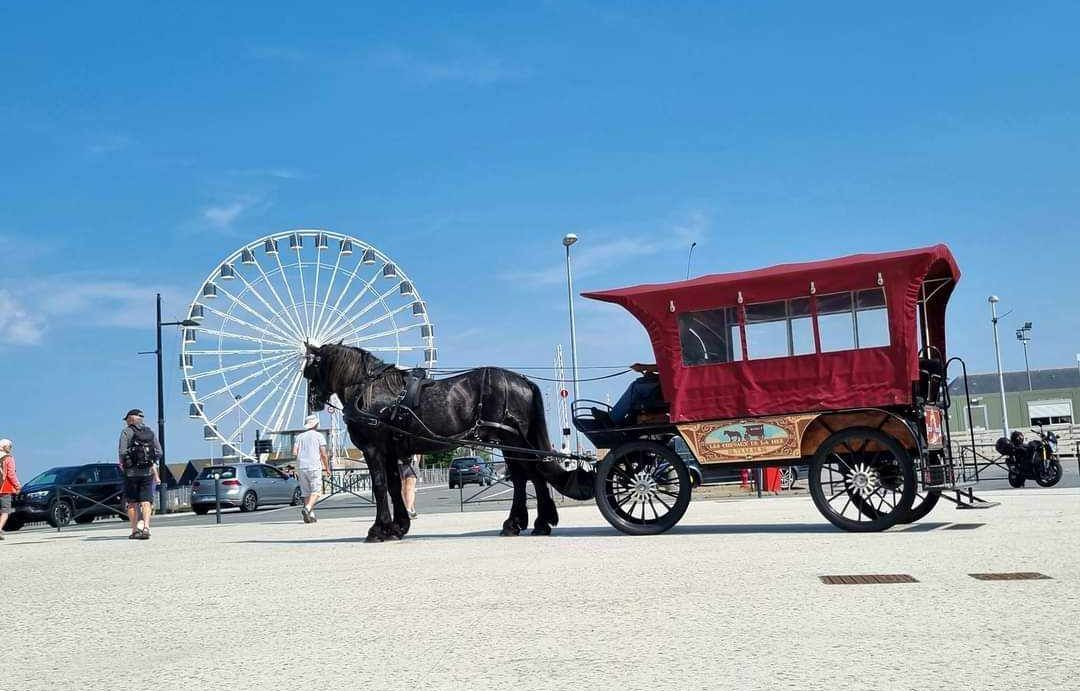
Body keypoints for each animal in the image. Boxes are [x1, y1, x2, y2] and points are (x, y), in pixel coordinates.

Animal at [300, 343, 596, 542]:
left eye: (310, 369)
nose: (312, 403)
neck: (369, 389)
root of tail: (521, 380)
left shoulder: (374, 450)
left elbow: (381, 486)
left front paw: (378, 529)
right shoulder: (390, 452)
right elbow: (394, 487)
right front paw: (398, 527)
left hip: (510, 439)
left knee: (529, 475)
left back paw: (524, 522)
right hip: (511, 441)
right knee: (530, 475)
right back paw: (533, 522)